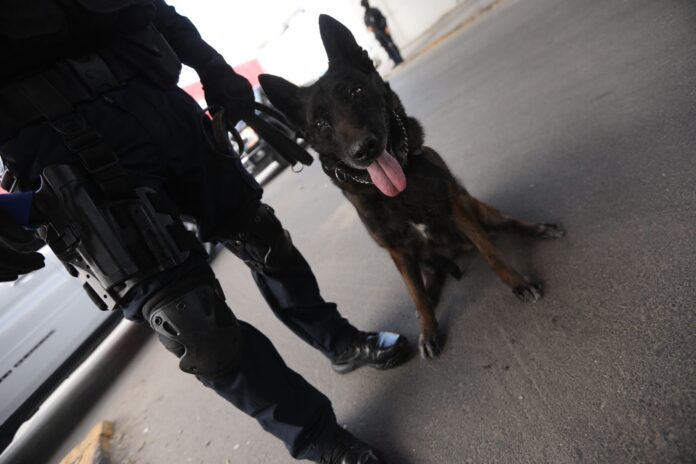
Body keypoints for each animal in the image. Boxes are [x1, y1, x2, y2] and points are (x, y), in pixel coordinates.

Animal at [259, 15, 565, 359]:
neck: (396, 193)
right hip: (417, 255)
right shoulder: (397, 250)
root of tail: (457, 250)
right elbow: (415, 295)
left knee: (506, 223)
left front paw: (517, 282)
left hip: (476, 208)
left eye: (357, 91)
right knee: (427, 279)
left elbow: (492, 253)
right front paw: (428, 329)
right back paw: (431, 294)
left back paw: (538, 229)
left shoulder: (456, 210)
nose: (363, 149)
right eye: (321, 125)